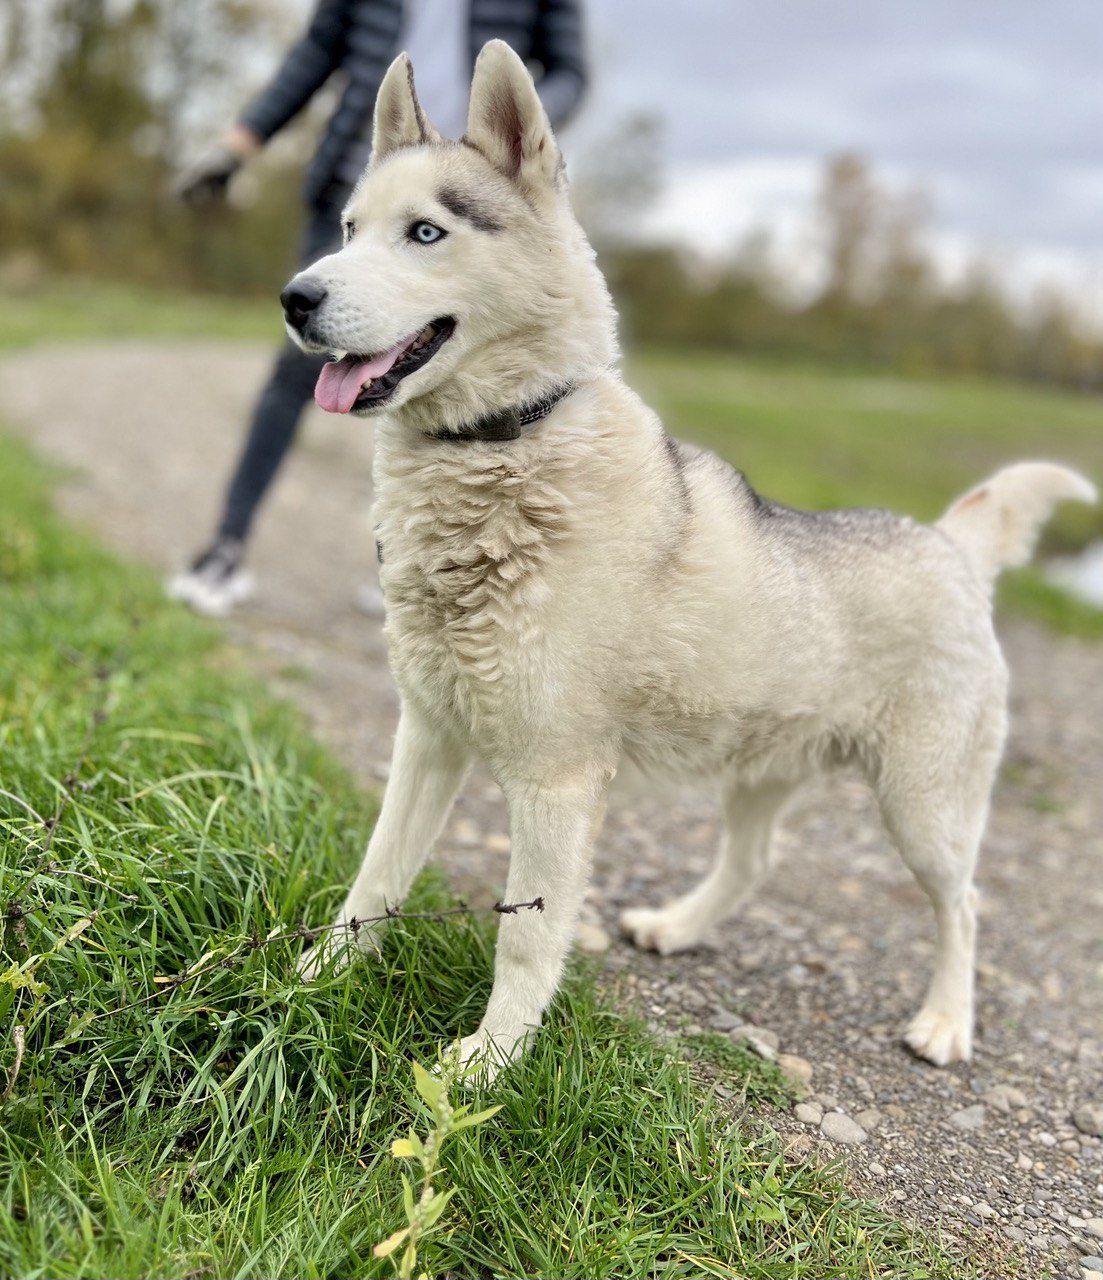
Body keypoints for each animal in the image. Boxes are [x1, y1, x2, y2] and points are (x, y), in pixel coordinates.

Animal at [285, 40, 1095, 1075]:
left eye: (425, 233)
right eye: (350, 228)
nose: (296, 296)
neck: (504, 448)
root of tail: (948, 541)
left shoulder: (556, 784)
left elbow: (524, 938)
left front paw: (488, 1064)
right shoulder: (426, 738)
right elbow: (372, 882)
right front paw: (311, 987)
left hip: (923, 811)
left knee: (963, 903)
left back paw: (946, 1019)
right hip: (760, 769)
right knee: (753, 862)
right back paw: (677, 925)